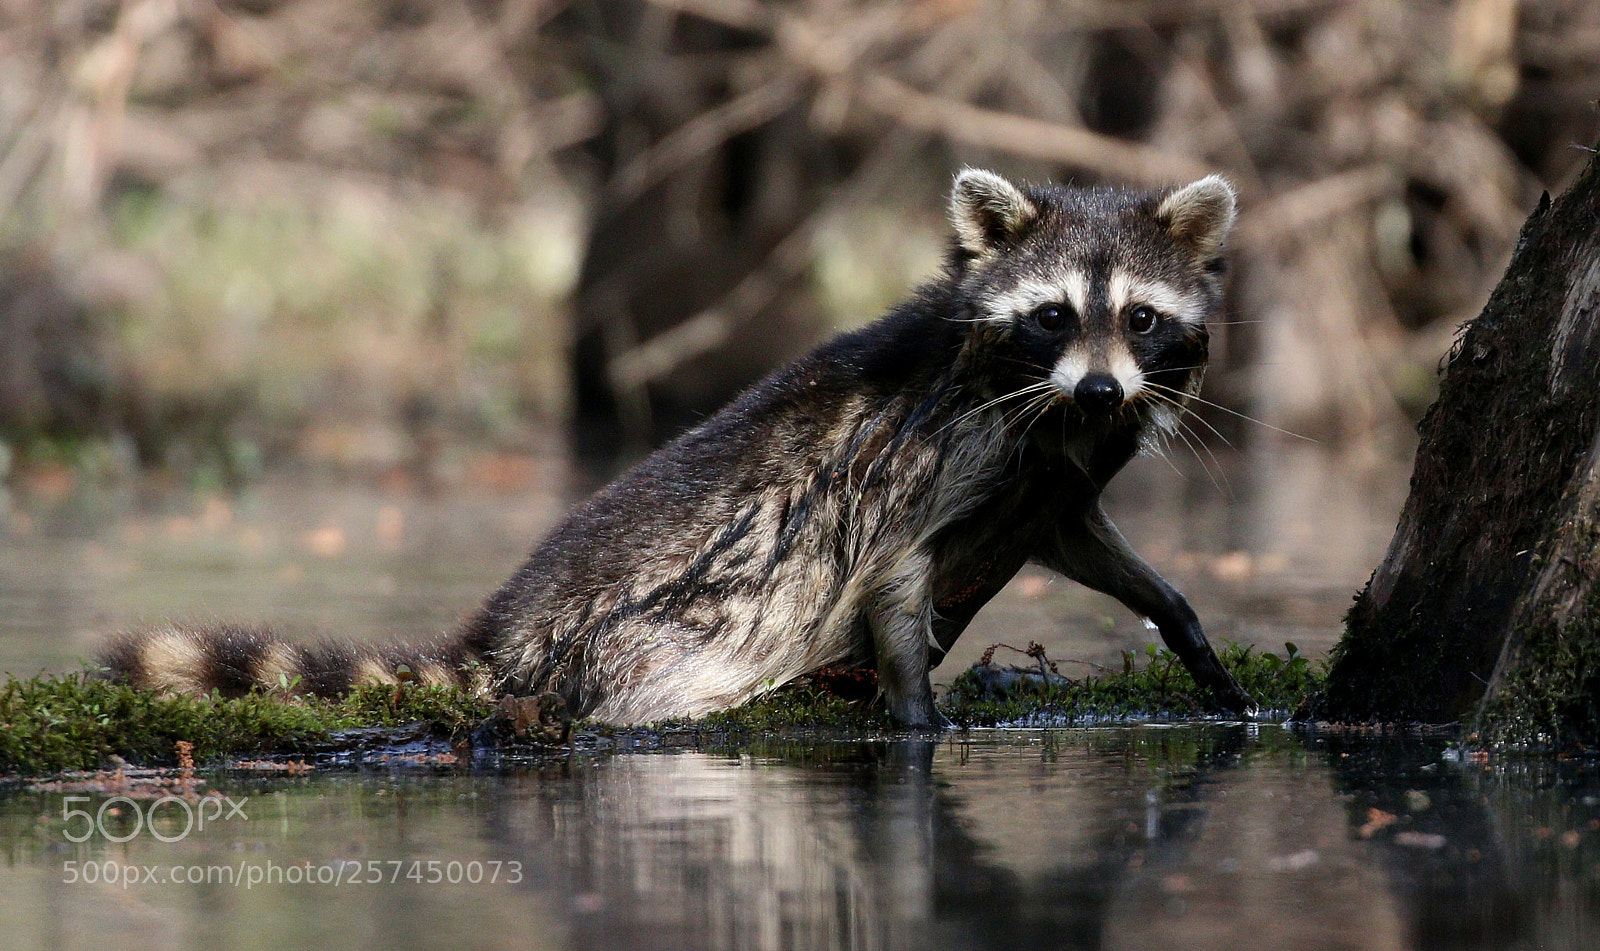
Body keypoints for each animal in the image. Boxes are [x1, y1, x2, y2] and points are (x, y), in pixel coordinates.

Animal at [104, 168, 1256, 727]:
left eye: (1140, 317)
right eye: (1054, 315)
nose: (1103, 385)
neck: (1066, 416)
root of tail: (510, 635)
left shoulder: (1049, 483)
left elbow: (1091, 546)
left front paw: (1187, 628)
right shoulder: (933, 458)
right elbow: (889, 577)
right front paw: (915, 710)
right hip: (639, 642)